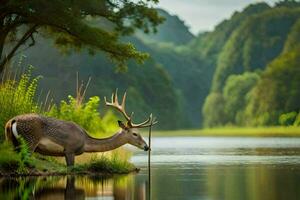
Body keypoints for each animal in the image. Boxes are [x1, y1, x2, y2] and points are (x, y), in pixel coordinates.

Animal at [4, 90, 157, 166]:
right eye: (135, 133)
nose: (146, 146)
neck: (85, 142)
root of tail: (12, 121)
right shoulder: (69, 149)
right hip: (29, 140)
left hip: (13, 142)